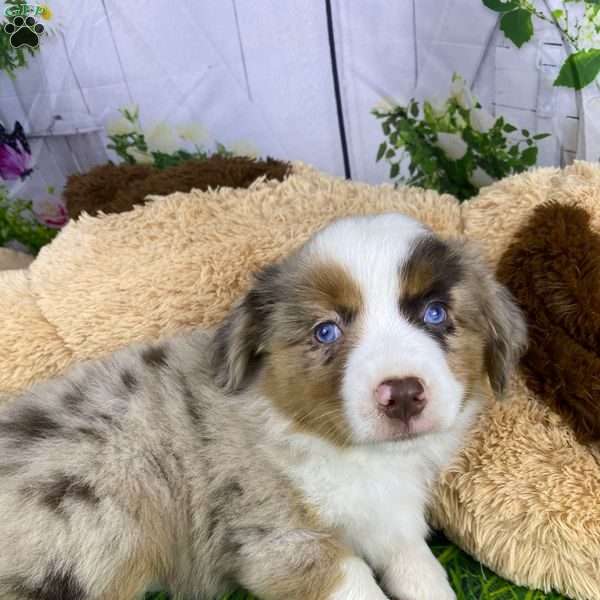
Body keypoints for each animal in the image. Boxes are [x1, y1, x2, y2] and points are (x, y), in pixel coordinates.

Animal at [0, 213, 524, 596]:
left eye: (435, 313)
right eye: (326, 331)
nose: (402, 395)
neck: (356, 456)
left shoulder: (392, 522)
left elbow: (422, 572)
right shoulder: (279, 540)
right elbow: (355, 582)